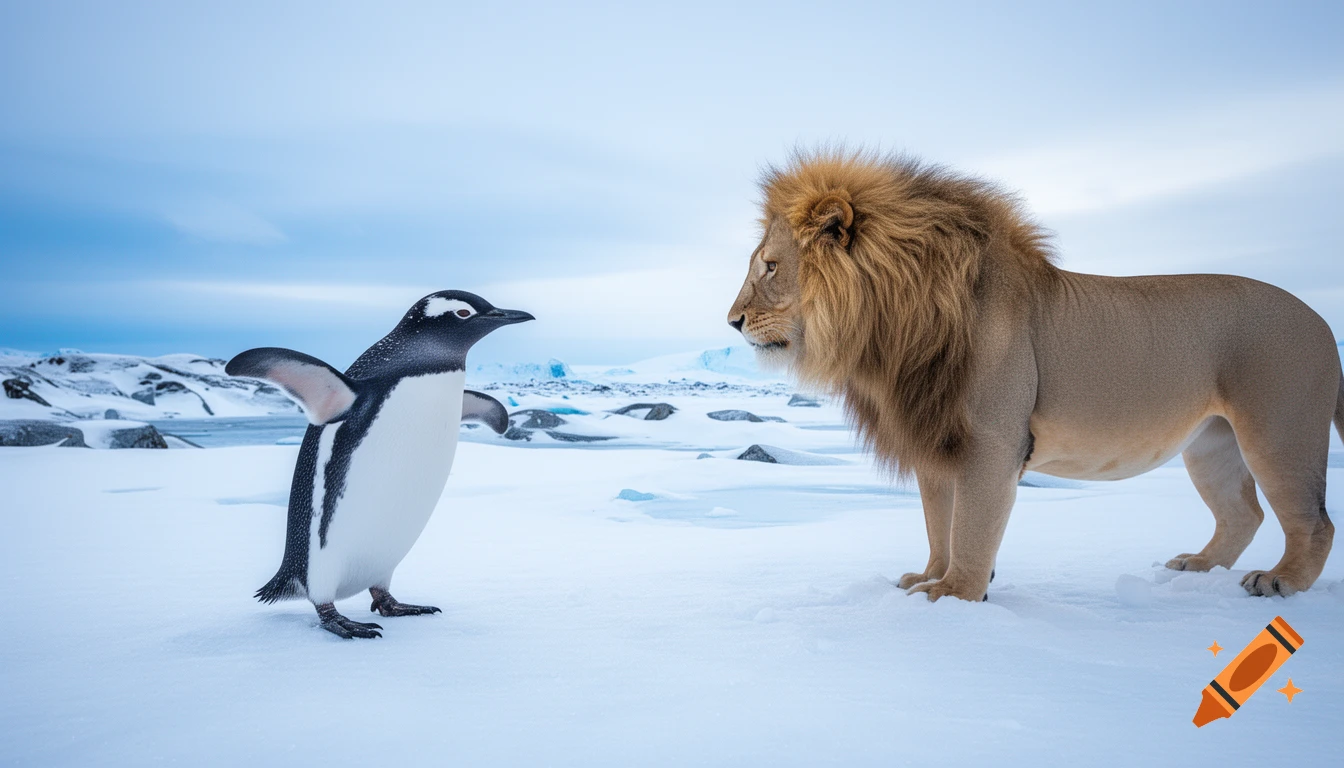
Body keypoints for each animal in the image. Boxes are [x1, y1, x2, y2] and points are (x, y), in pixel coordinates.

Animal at [728, 150, 1343, 602]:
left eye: (771, 266)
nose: (732, 321)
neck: (894, 325)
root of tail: (1322, 321)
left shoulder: (992, 441)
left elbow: (971, 526)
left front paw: (954, 593)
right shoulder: (936, 438)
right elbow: (938, 522)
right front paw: (929, 575)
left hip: (1278, 429)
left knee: (1313, 521)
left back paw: (1278, 582)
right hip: (1211, 442)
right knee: (1243, 513)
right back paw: (1196, 566)